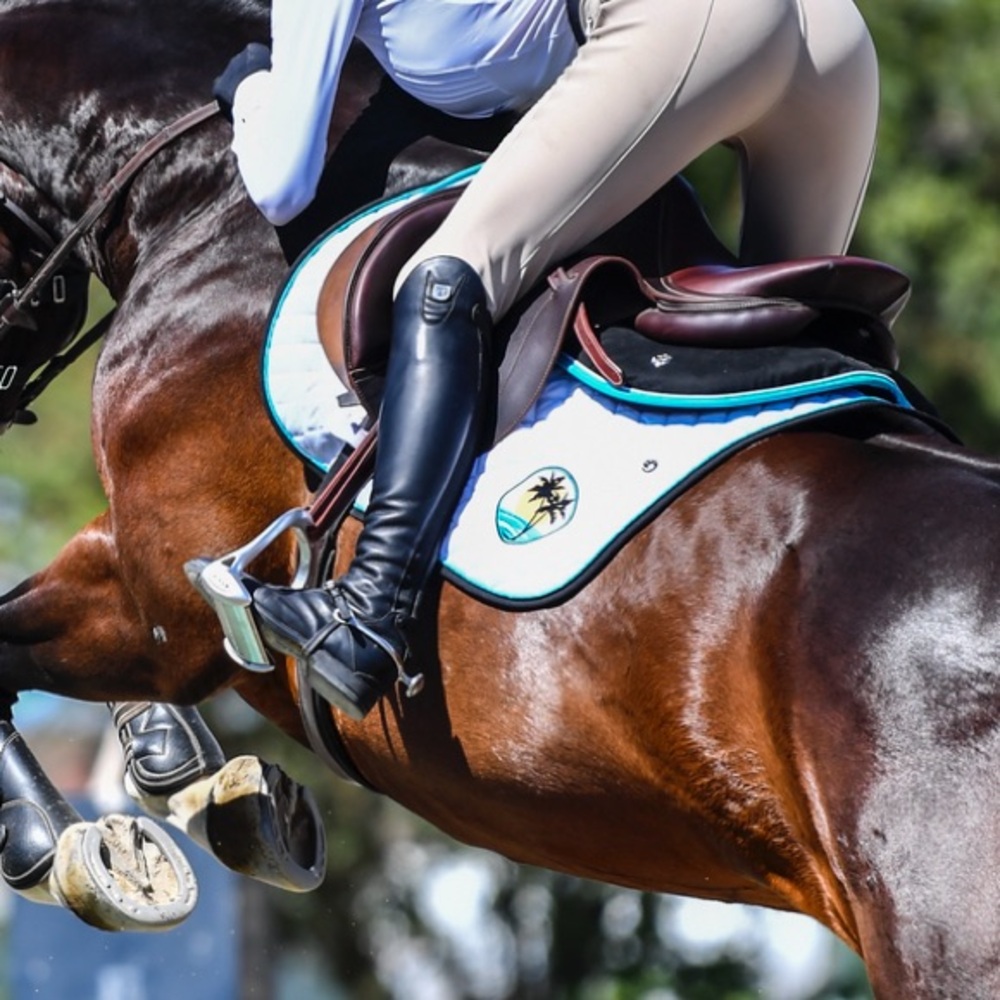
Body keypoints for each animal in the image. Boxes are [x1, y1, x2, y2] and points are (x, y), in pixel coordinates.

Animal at [0, 1, 997, 996]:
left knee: (444, 289)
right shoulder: (144, 582)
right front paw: (174, 773)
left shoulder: (162, 602)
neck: (202, 194)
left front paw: (54, 846)